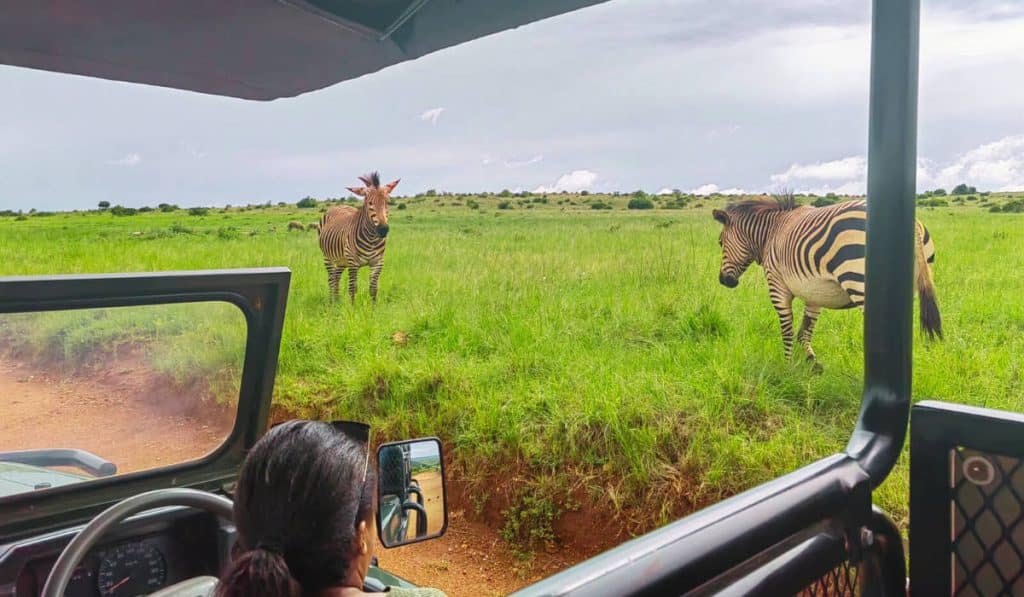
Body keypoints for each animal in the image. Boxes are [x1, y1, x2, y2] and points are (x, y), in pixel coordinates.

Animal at [319, 172, 399, 303]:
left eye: (388, 202)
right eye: (370, 203)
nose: (383, 230)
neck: (371, 239)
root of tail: (339, 205)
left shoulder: (378, 262)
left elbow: (373, 289)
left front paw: (373, 307)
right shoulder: (352, 262)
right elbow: (352, 289)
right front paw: (352, 307)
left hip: (341, 260)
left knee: (336, 276)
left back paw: (337, 301)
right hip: (327, 257)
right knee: (331, 278)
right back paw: (331, 302)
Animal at [712, 193, 942, 366]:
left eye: (720, 242)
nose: (724, 281)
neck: (772, 232)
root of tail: (912, 223)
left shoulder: (777, 285)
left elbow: (787, 329)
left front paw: (787, 366)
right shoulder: (815, 290)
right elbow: (806, 329)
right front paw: (811, 363)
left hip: (859, 282)